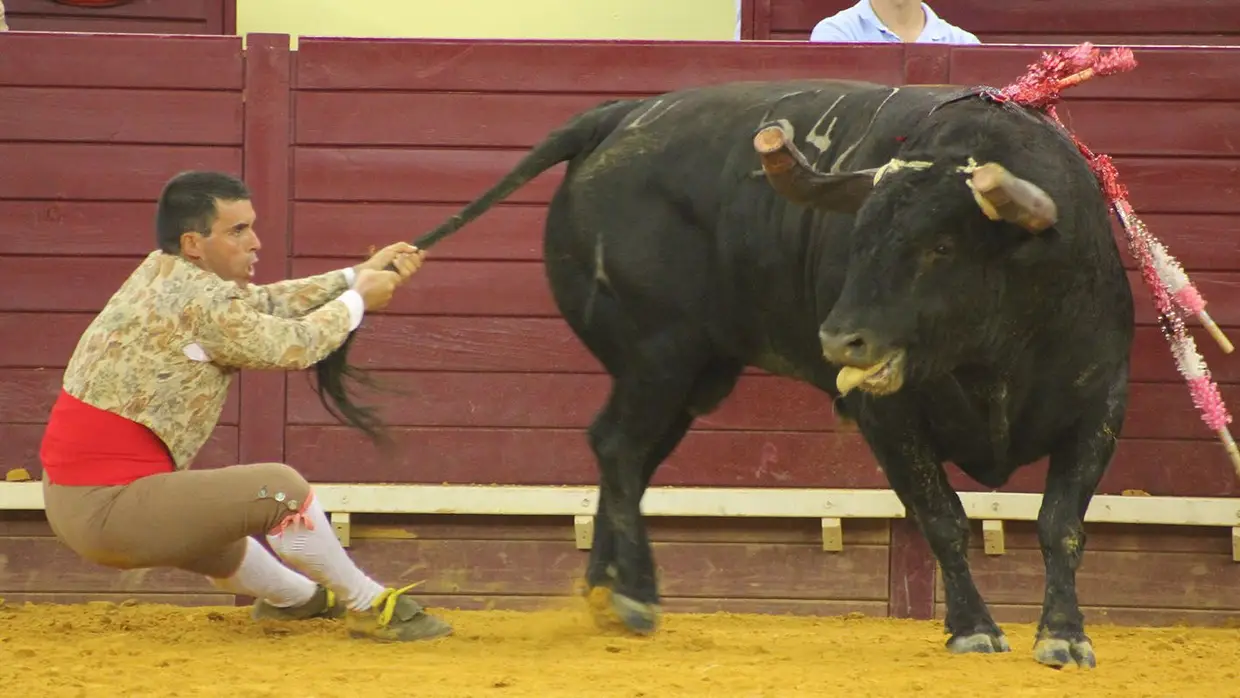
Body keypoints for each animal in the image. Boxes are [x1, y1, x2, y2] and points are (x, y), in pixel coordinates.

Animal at [312, 80, 1135, 669]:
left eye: (941, 248)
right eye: (857, 238)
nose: (839, 337)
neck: (992, 352)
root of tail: (620, 115)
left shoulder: (1100, 407)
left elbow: (1061, 524)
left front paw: (1065, 637)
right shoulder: (890, 418)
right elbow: (943, 517)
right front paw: (973, 630)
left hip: (689, 374)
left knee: (625, 455)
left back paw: (606, 592)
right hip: (660, 356)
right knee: (619, 447)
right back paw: (636, 595)